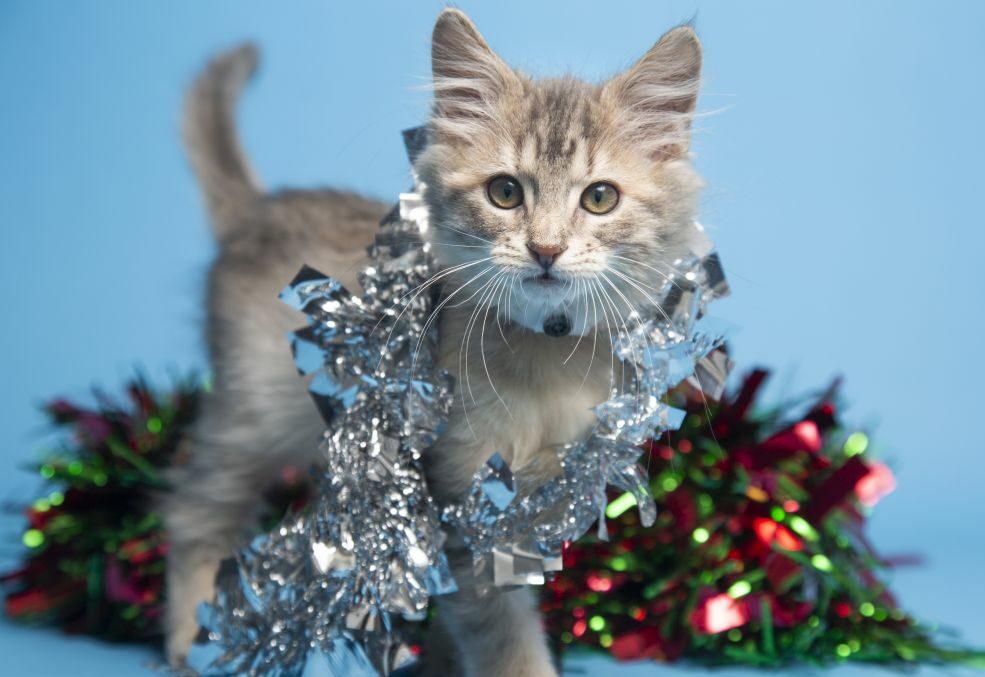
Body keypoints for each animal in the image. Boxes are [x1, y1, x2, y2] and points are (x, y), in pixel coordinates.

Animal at [165, 7, 704, 672]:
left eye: (599, 197)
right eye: (505, 192)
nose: (546, 249)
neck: (546, 357)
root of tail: (258, 210)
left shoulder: (545, 499)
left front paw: (442, 665)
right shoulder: (459, 499)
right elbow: (503, 636)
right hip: (254, 415)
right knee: (194, 511)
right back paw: (187, 640)